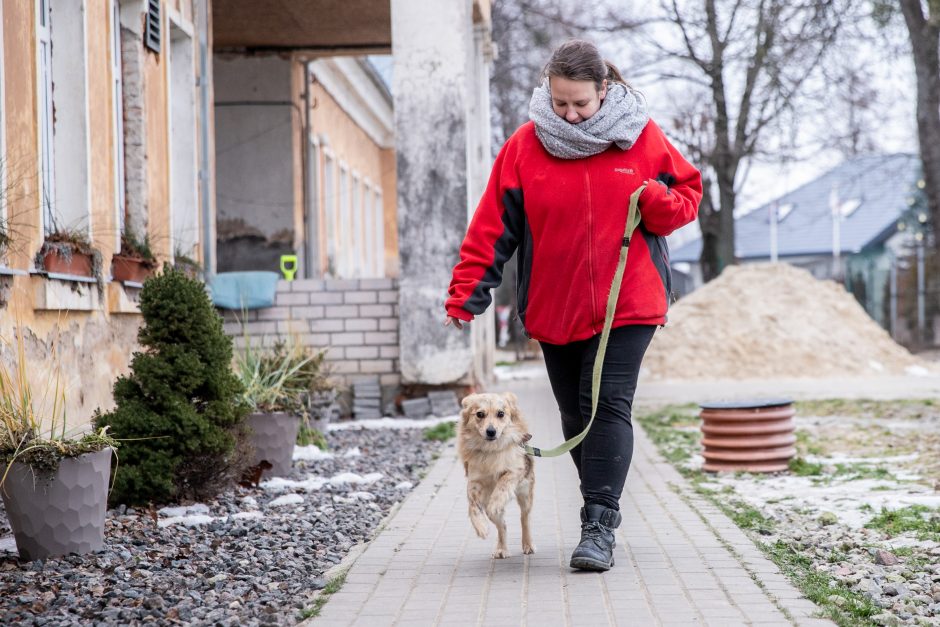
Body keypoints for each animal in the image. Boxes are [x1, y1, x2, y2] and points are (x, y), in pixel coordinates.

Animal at [458, 392, 532, 560]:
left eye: (501, 414)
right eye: (480, 414)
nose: (491, 431)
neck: (490, 450)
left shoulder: (515, 470)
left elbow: (503, 483)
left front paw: (495, 502)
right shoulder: (474, 482)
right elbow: (472, 506)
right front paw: (481, 527)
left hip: (525, 495)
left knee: (524, 518)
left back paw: (528, 545)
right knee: (502, 525)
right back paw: (501, 548)